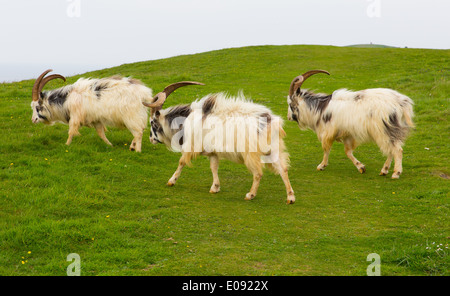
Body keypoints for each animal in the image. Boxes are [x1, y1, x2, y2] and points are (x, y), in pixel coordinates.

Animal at [144, 81, 298, 204]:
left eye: (152, 122)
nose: (151, 139)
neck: (185, 120)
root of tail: (271, 122)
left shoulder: (192, 145)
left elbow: (182, 162)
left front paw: (171, 181)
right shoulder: (212, 151)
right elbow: (214, 167)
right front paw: (215, 188)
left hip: (251, 152)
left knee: (258, 173)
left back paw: (250, 195)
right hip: (273, 149)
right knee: (283, 169)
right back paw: (290, 198)